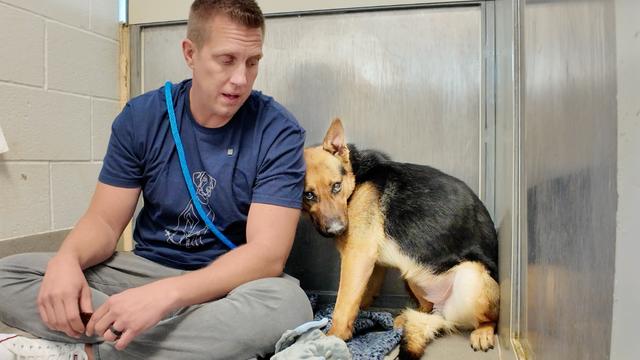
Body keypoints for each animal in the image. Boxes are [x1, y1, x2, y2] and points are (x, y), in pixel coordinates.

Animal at [302, 119, 500, 358]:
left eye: (336, 186)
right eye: (308, 195)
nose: (337, 230)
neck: (357, 180)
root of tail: (445, 316)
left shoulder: (357, 256)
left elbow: (344, 303)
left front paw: (334, 337)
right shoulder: (371, 262)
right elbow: (361, 296)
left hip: (470, 275)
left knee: (490, 318)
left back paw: (483, 331)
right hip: (413, 270)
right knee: (426, 309)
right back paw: (404, 318)